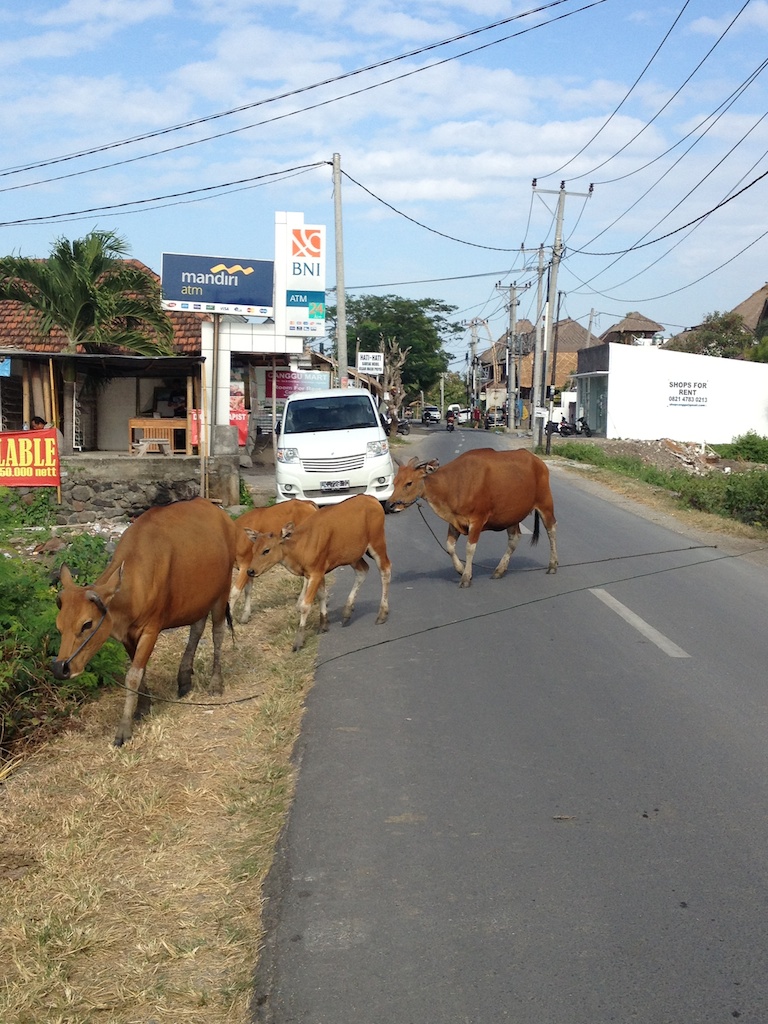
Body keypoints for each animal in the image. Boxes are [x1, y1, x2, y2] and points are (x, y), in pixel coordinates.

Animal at [52, 495, 250, 745]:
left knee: (217, 633)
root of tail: (222, 515)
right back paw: (184, 678)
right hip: (199, 598)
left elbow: (133, 675)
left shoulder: (151, 629)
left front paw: (124, 730)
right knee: (196, 628)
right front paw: (142, 707)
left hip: (221, 591)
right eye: (59, 626)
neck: (136, 584)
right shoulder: (126, 635)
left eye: (86, 624)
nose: (60, 668)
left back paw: (216, 682)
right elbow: (139, 671)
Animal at [385, 448, 561, 585]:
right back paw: (499, 570)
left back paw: (553, 565)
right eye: (394, 481)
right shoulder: (454, 521)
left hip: (545, 504)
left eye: (409, 483)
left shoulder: (477, 520)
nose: (389, 505)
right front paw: (460, 569)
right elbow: (449, 547)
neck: (454, 484)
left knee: (551, 529)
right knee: (514, 538)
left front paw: (466, 577)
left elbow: (470, 548)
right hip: (512, 515)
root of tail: (538, 462)